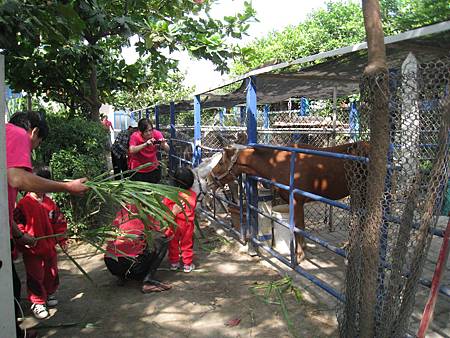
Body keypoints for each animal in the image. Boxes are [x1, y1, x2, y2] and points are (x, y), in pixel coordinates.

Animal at [207, 140, 370, 262]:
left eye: (221, 163)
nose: (209, 179)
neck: (277, 164)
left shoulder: (297, 201)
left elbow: (298, 228)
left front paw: (299, 255)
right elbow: (299, 227)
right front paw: (303, 250)